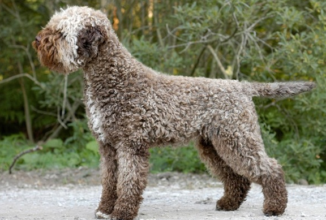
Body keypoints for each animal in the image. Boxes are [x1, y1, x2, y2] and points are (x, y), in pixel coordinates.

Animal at [31, 6, 314, 219]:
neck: (115, 79)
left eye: (60, 33)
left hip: (238, 138)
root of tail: (241, 86)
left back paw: (275, 208)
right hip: (214, 144)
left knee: (270, 168)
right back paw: (228, 204)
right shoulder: (108, 146)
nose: (37, 40)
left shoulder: (130, 145)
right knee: (236, 177)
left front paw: (122, 212)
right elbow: (110, 182)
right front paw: (104, 209)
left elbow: (128, 182)